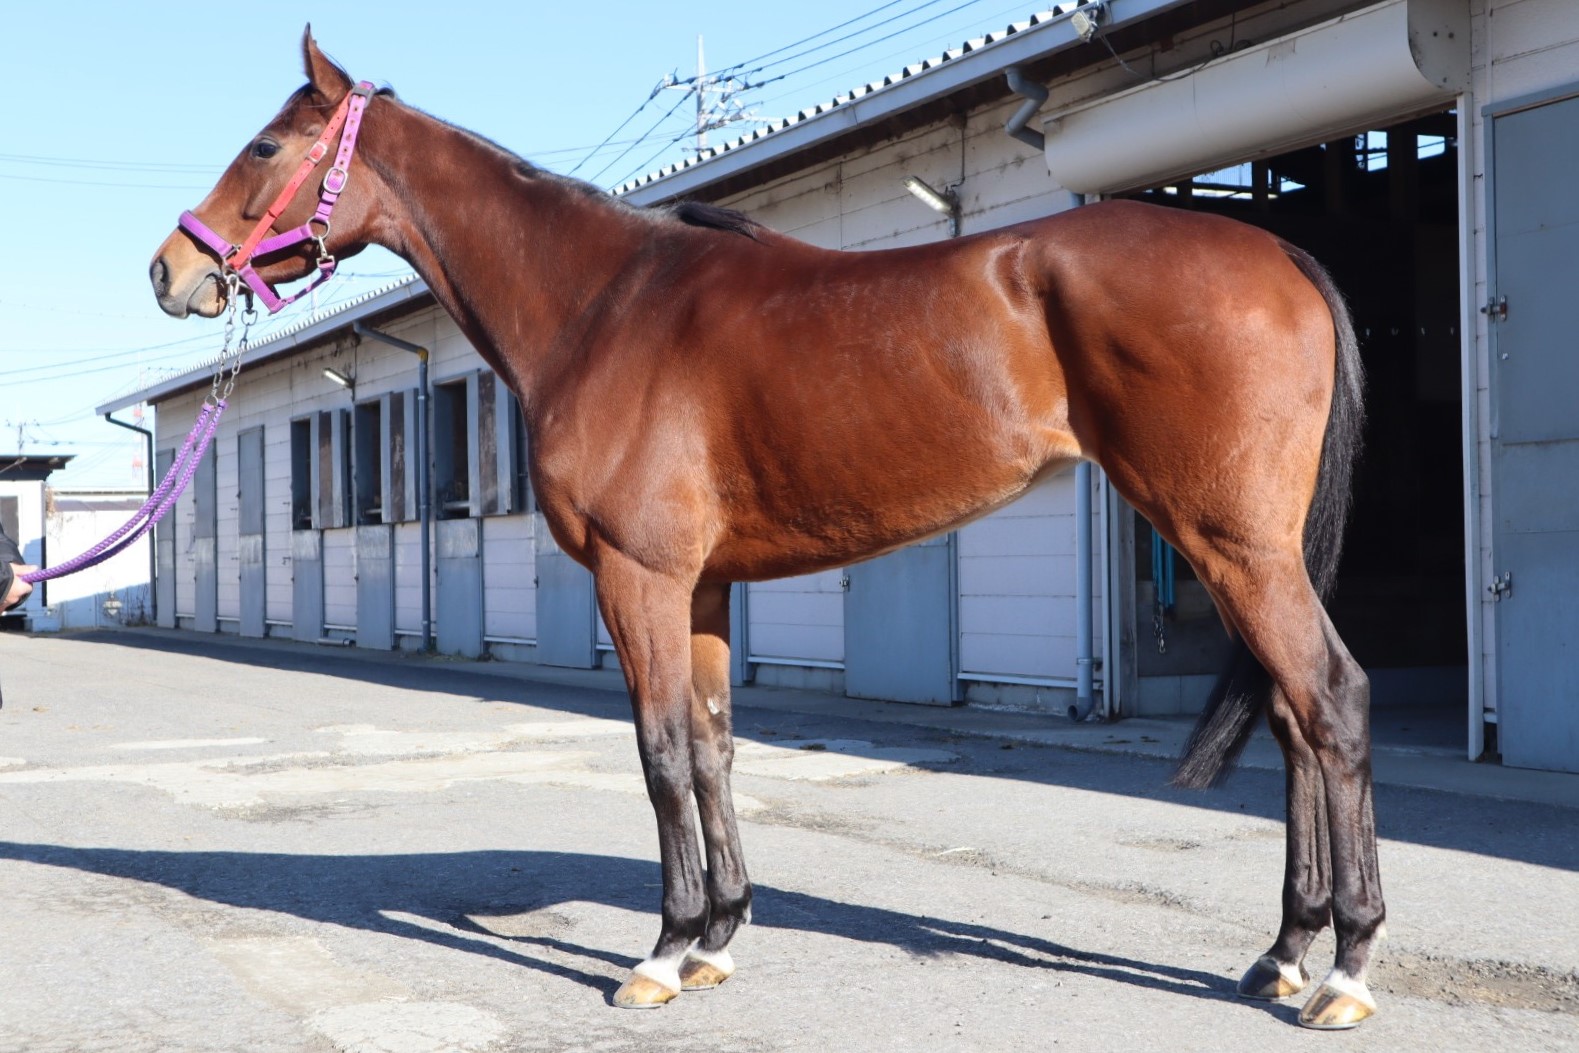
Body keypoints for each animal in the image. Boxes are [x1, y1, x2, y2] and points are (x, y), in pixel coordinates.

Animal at [150, 31, 1382, 1030]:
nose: (172, 271)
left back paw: (1344, 969)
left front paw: (657, 955)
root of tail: (1274, 254)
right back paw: (1283, 950)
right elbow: (711, 744)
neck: (604, 305)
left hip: (1231, 544)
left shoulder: (638, 577)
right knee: (1290, 719)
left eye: (263, 145)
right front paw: (715, 937)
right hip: (1241, 553)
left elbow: (657, 752)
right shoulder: (697, 587)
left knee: (1329, 700)